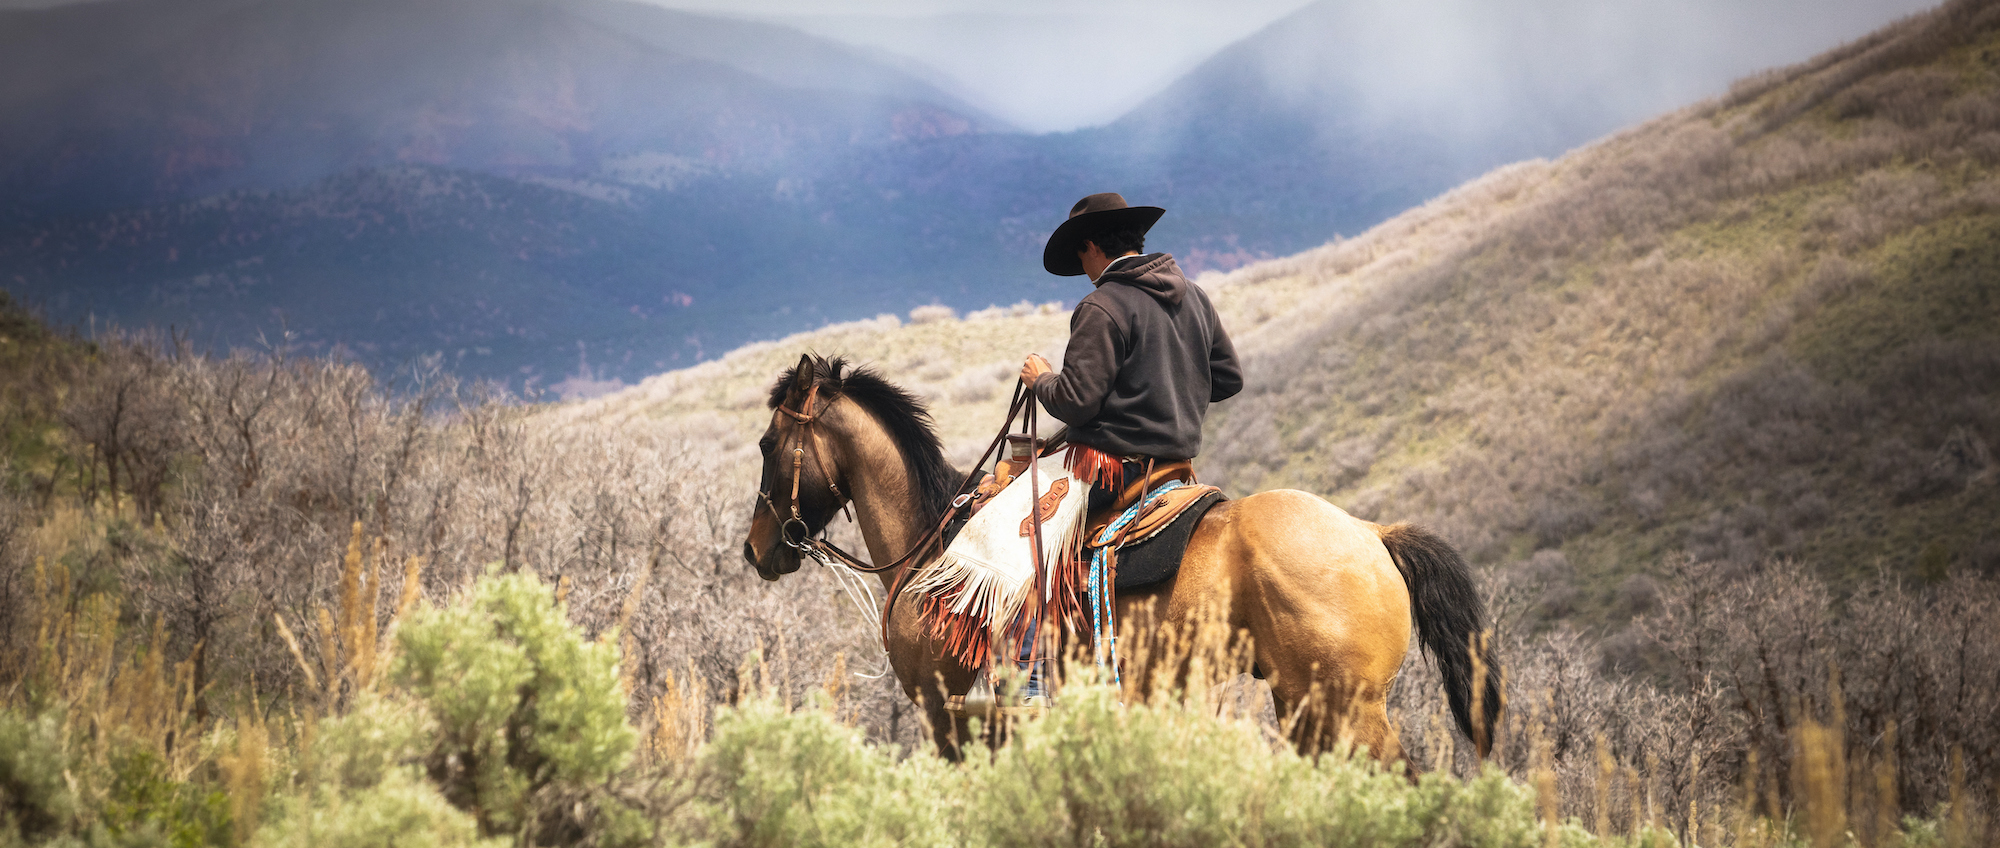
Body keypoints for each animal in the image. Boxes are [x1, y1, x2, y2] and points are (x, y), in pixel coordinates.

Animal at [748, 354, 1504, 764]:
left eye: (766, 443)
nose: (757, 549)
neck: (934, 542)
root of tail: (1373, 533)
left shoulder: (947, 713)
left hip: (1347, 710)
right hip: (1306, 709)